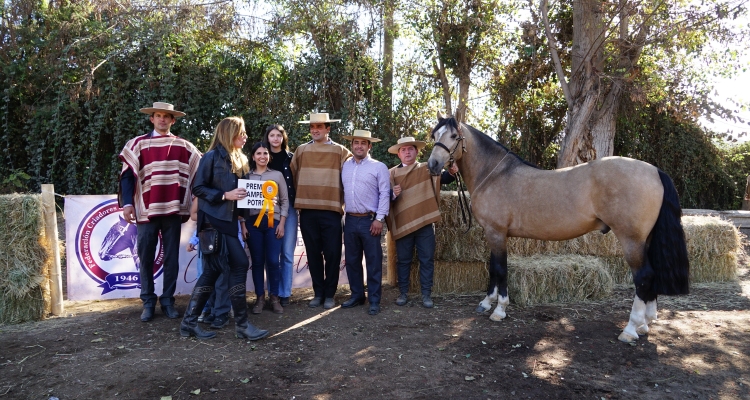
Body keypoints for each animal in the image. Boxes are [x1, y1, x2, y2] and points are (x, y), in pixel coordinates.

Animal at [428, 115, 692, 344]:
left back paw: (630, 329)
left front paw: (499, 310)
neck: (494, 175)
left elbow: (499, 269)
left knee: (644, 277)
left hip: (631, 240)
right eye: (434, 135)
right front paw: (487, 303)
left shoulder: (496, 233)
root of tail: (654, 171)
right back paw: (645, 324)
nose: (433, 164)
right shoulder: (494, 235)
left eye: (454, 136)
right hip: (645, 240)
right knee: (652, 276)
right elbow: (494, 269)